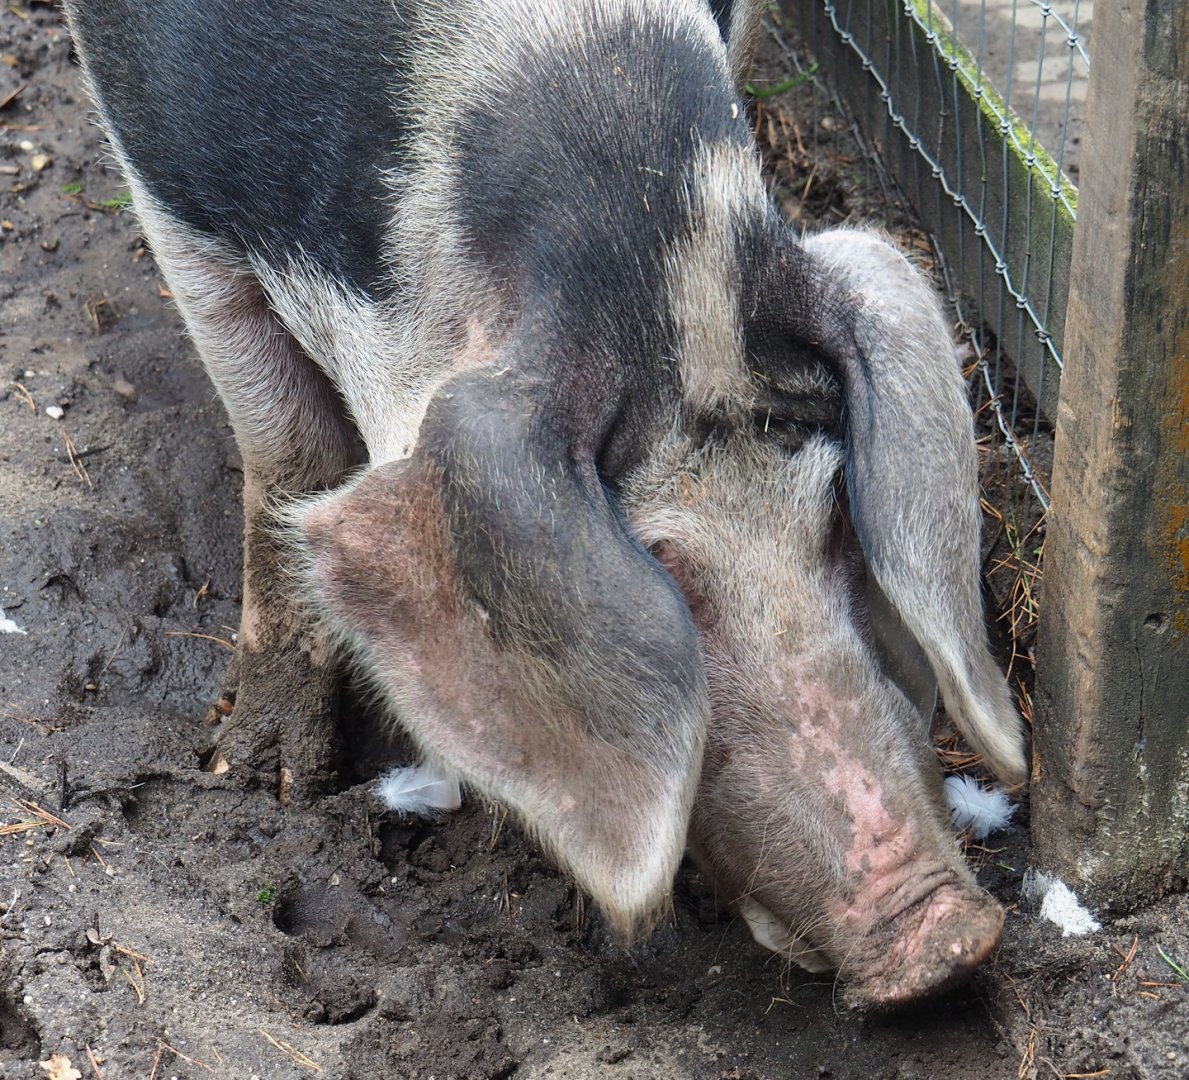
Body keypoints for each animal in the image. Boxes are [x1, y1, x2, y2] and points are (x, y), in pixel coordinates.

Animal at [63, 0, 1027, 1004]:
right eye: (662, 570)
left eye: (834, 519)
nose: (948, 936)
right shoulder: (164, 171)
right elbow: (288, 448)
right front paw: (266, 775)